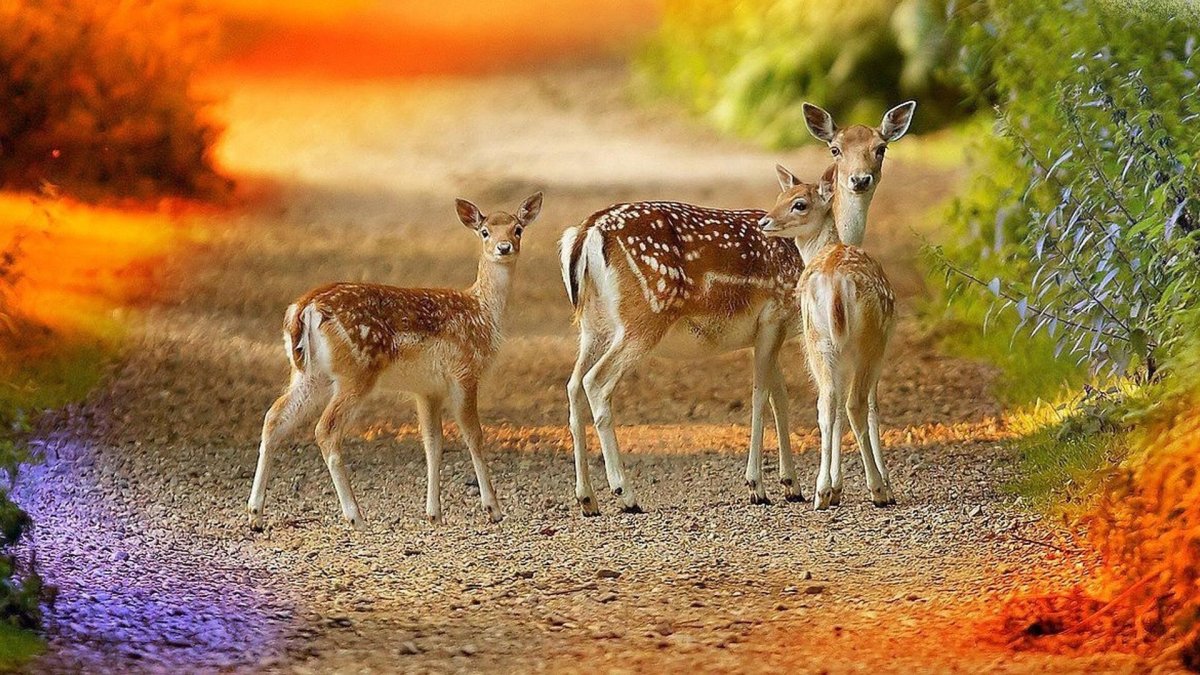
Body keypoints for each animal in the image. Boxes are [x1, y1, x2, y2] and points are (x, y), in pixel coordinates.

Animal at [247, 192, 544, 530]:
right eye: (484, 232)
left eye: (518, 229)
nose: (503, 247)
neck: (483, 312)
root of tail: (303, 309)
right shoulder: (465, 372)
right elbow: (474, 436)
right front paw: (493, 509)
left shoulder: (427, 389)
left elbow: (433, 442)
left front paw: (433, 513)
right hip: (356, 371)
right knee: (326, 429)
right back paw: (356, 516)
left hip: (309, 374)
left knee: (274, 417)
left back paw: (255, 514)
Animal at [758, 167, 896, 510]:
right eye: (780, 196)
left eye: (798, 203)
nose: (764, 221)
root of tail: (835, 284)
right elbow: (872, 407)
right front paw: (879, 484)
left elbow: (832, 411)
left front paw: (835, 488)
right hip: (868, 341)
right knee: (854, 403)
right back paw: (878, 490)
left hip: (818, 339)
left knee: (827, 403)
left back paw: (821, 492)